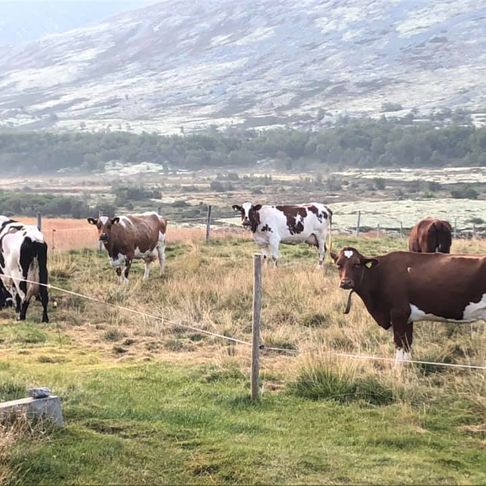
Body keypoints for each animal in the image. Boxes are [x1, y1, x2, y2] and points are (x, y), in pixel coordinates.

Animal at [330, 247, 486, 360]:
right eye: (338, 265)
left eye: (357, 264)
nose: (345, 282)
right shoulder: (408, 318)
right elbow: (407, 345)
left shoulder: (399, 313)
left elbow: (399, 345)